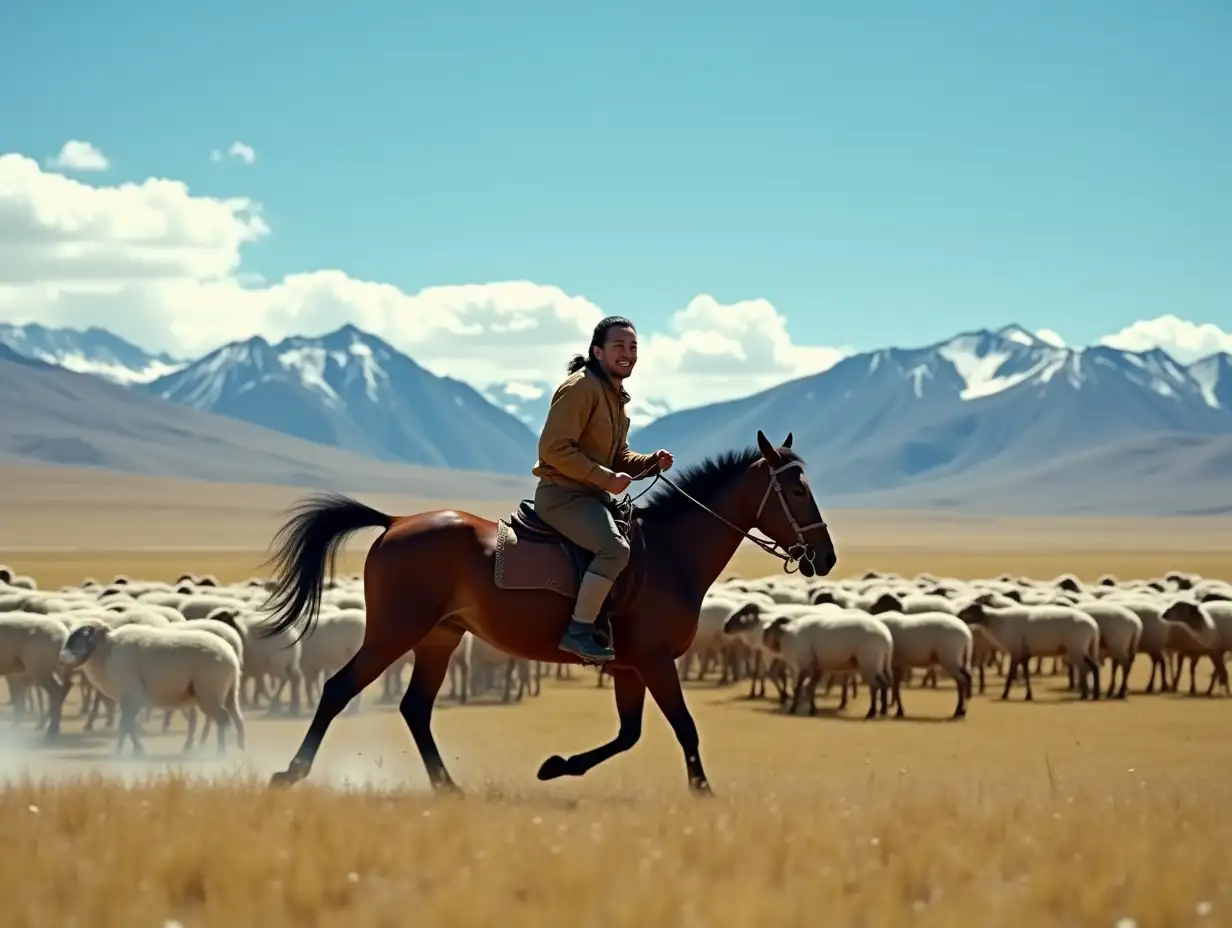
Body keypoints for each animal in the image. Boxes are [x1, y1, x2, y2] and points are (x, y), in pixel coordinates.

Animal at [259, 431, 837, 793]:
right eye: (794, 489)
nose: (825, 557)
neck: (672, 554)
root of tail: (396, 522)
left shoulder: (628, 667)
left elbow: (629, 735)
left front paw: (556, 767)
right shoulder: (654, 662)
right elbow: (684, 728)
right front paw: (702, 793)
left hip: (439, 638)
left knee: (415, 709)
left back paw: (448, 787)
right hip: (394, 632)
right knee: (339, 688)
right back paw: (290, 773)